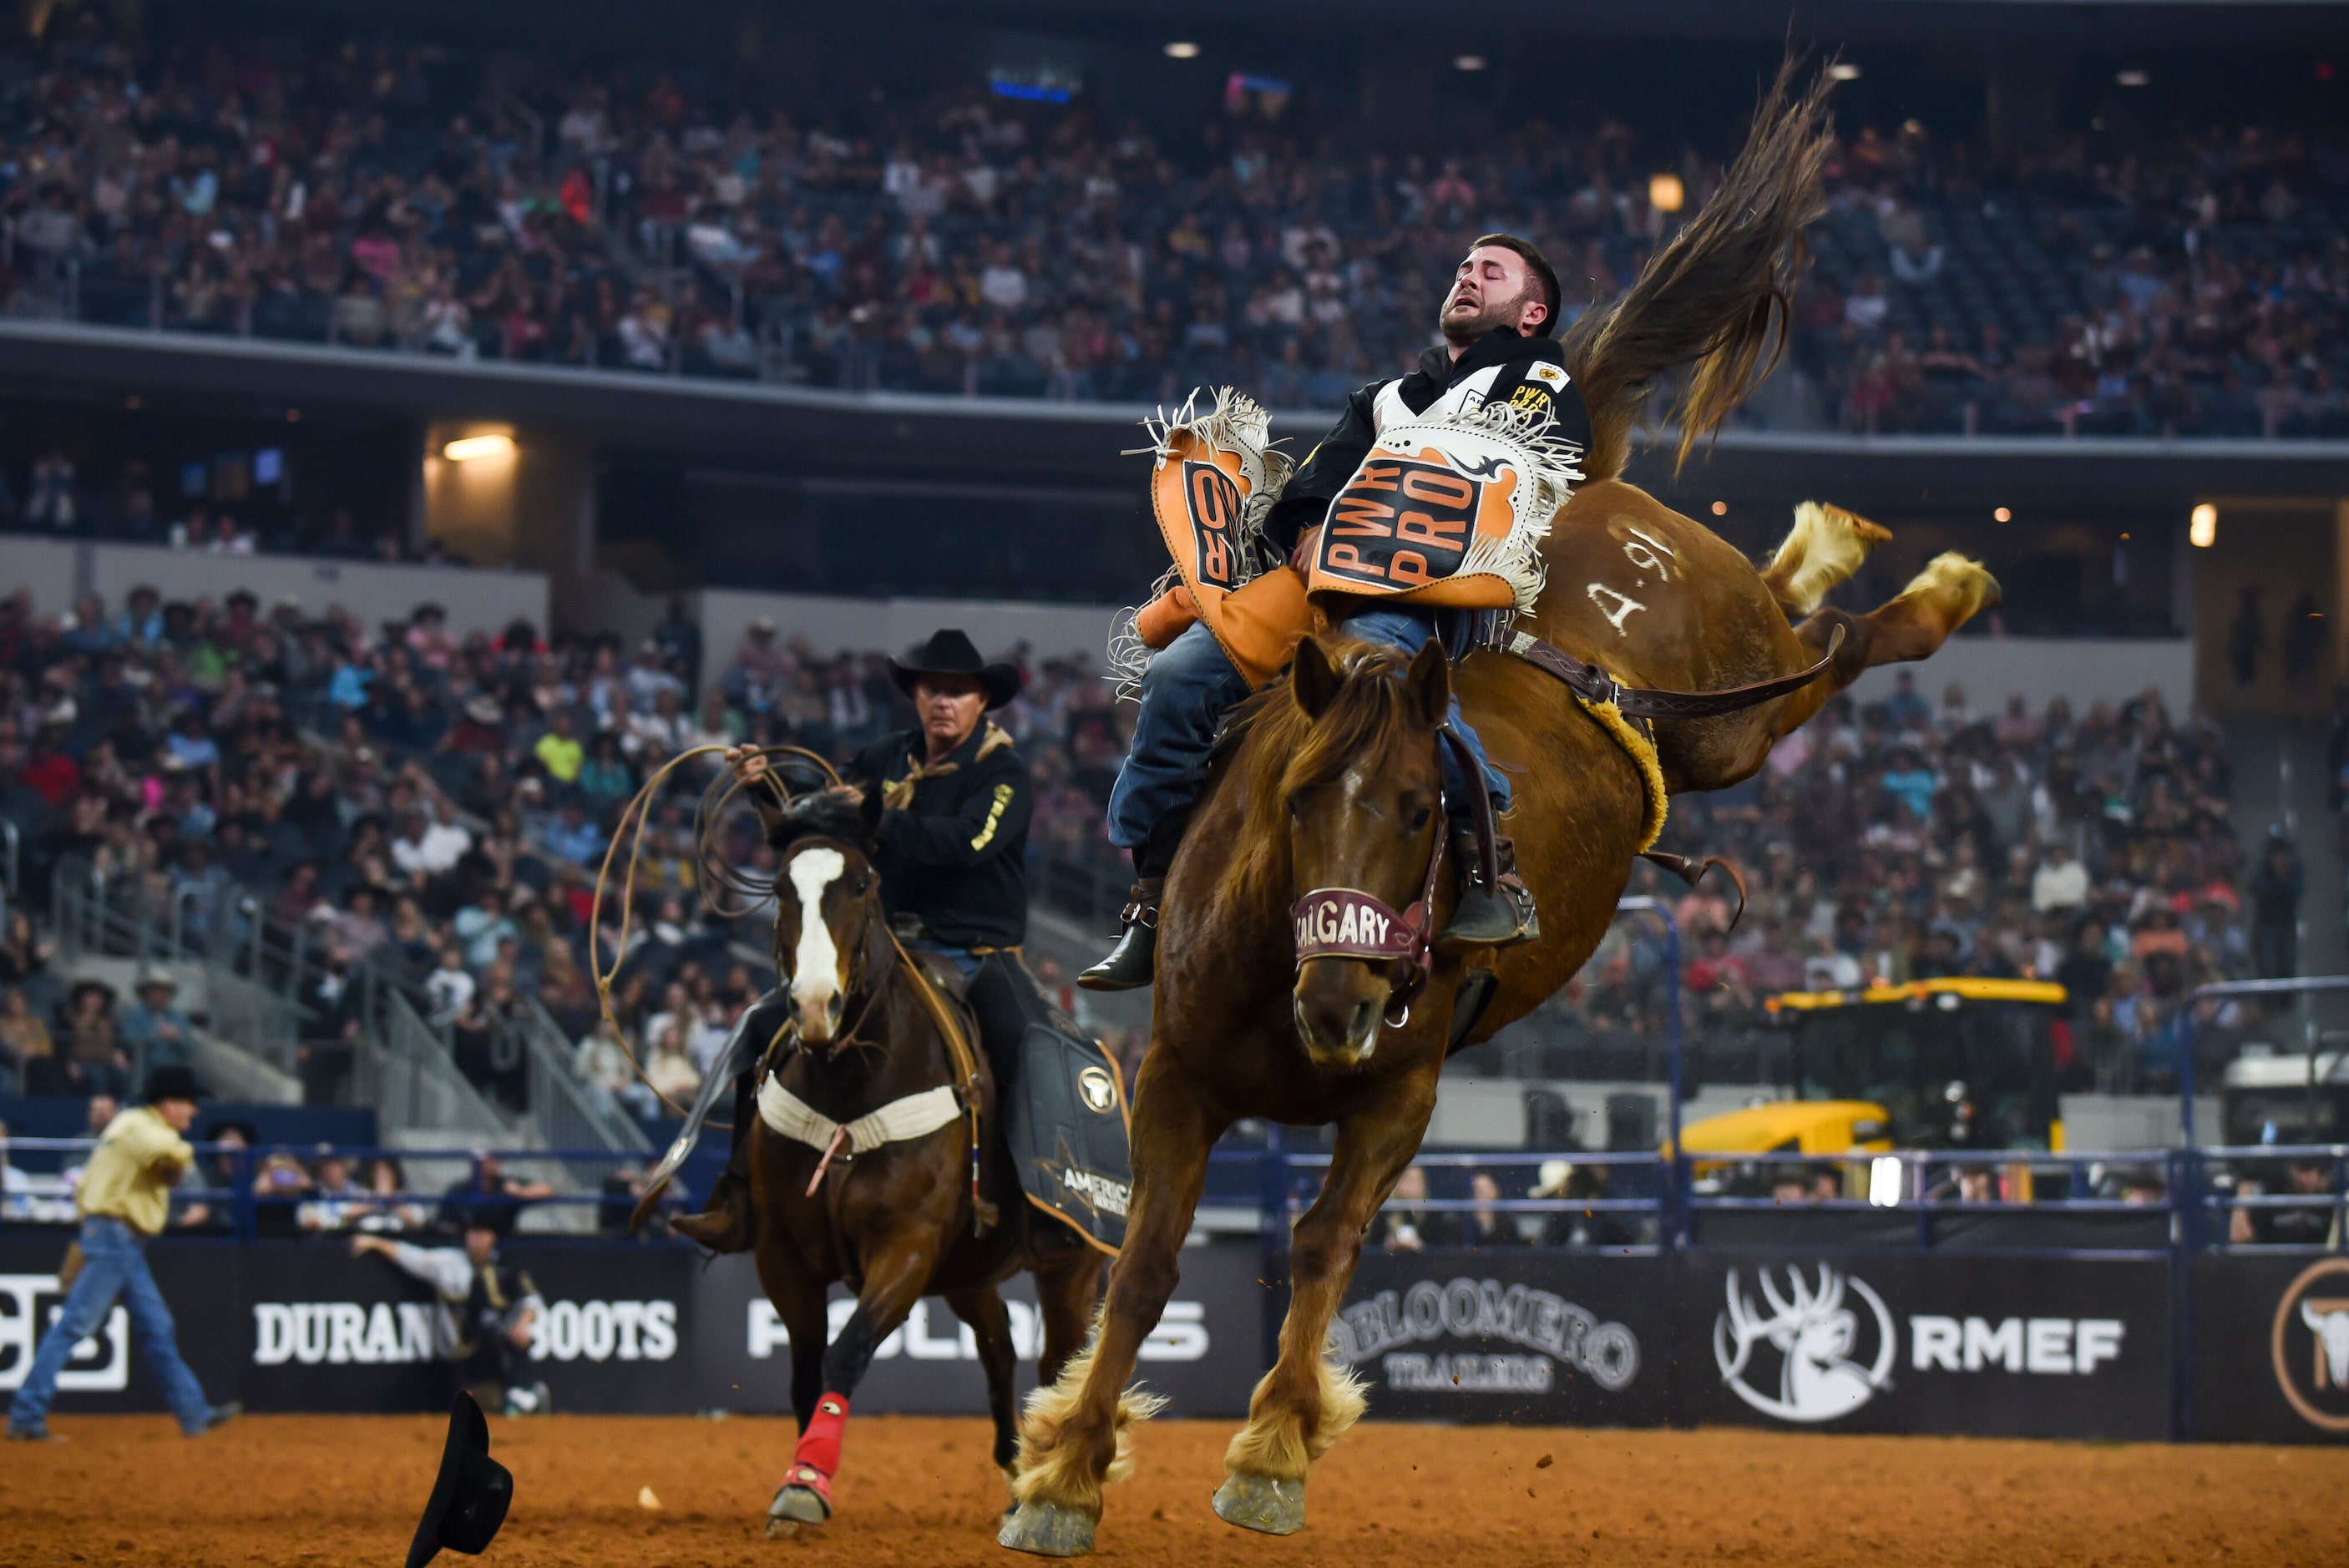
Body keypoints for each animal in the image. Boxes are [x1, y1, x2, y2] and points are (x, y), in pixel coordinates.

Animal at [742, 788, 1099, 1540]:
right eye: (781, 887)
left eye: (861, 884)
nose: (814, 1006)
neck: (849, 1084)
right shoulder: (782, 1254)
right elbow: (805, 1370)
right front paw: (799, 1479)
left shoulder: (904, 1246)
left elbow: (846, 1351)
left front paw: (804, 1484)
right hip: (967, 1274)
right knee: (998, 1347)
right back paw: (1013, 1469)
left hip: (1072, 1269)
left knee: (1057, 1362)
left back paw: (1044, 1489)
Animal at [1000, 61, 2010, 1558]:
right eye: (1295, 801)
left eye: (1429, 813)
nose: (1342, 998)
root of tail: (1600, 500)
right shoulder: (1176, 1074)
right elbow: (1146, 1261)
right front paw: (1064, 1466)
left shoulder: (1404, 1089)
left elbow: (1322, 1242)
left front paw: (1272, 1451)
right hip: (1719, 710)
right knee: (1807, 617)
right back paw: (1830, 541)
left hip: (1733, 721)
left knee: (1833, 642)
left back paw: (1928, 579)